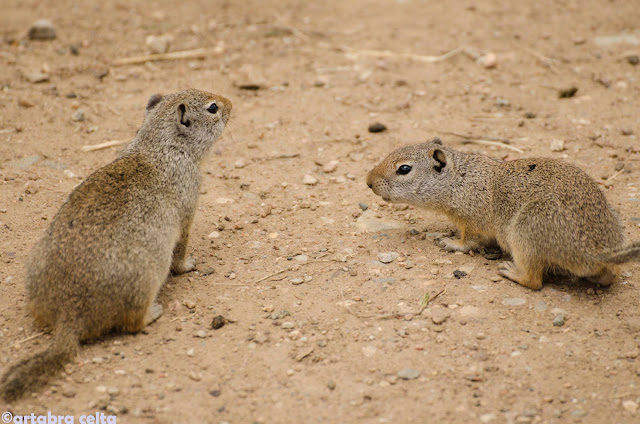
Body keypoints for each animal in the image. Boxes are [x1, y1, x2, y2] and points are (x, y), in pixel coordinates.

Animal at [1, 87, 231, 400]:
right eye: (213, 108)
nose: (231, 103)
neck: (160, 147)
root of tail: (69, 316)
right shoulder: (187, 212)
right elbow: (181, 253)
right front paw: (190, 265)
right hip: (147, 278)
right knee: (132, 324)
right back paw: (154, 313)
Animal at [368, 139, 640, 292]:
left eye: (404, 169)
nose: (368, 181)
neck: (460, 179)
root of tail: (597, 249)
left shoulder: (473, 222)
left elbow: (468, 241)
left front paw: (451, 242)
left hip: (525, 232)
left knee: (534, 281)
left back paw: (512, 272)